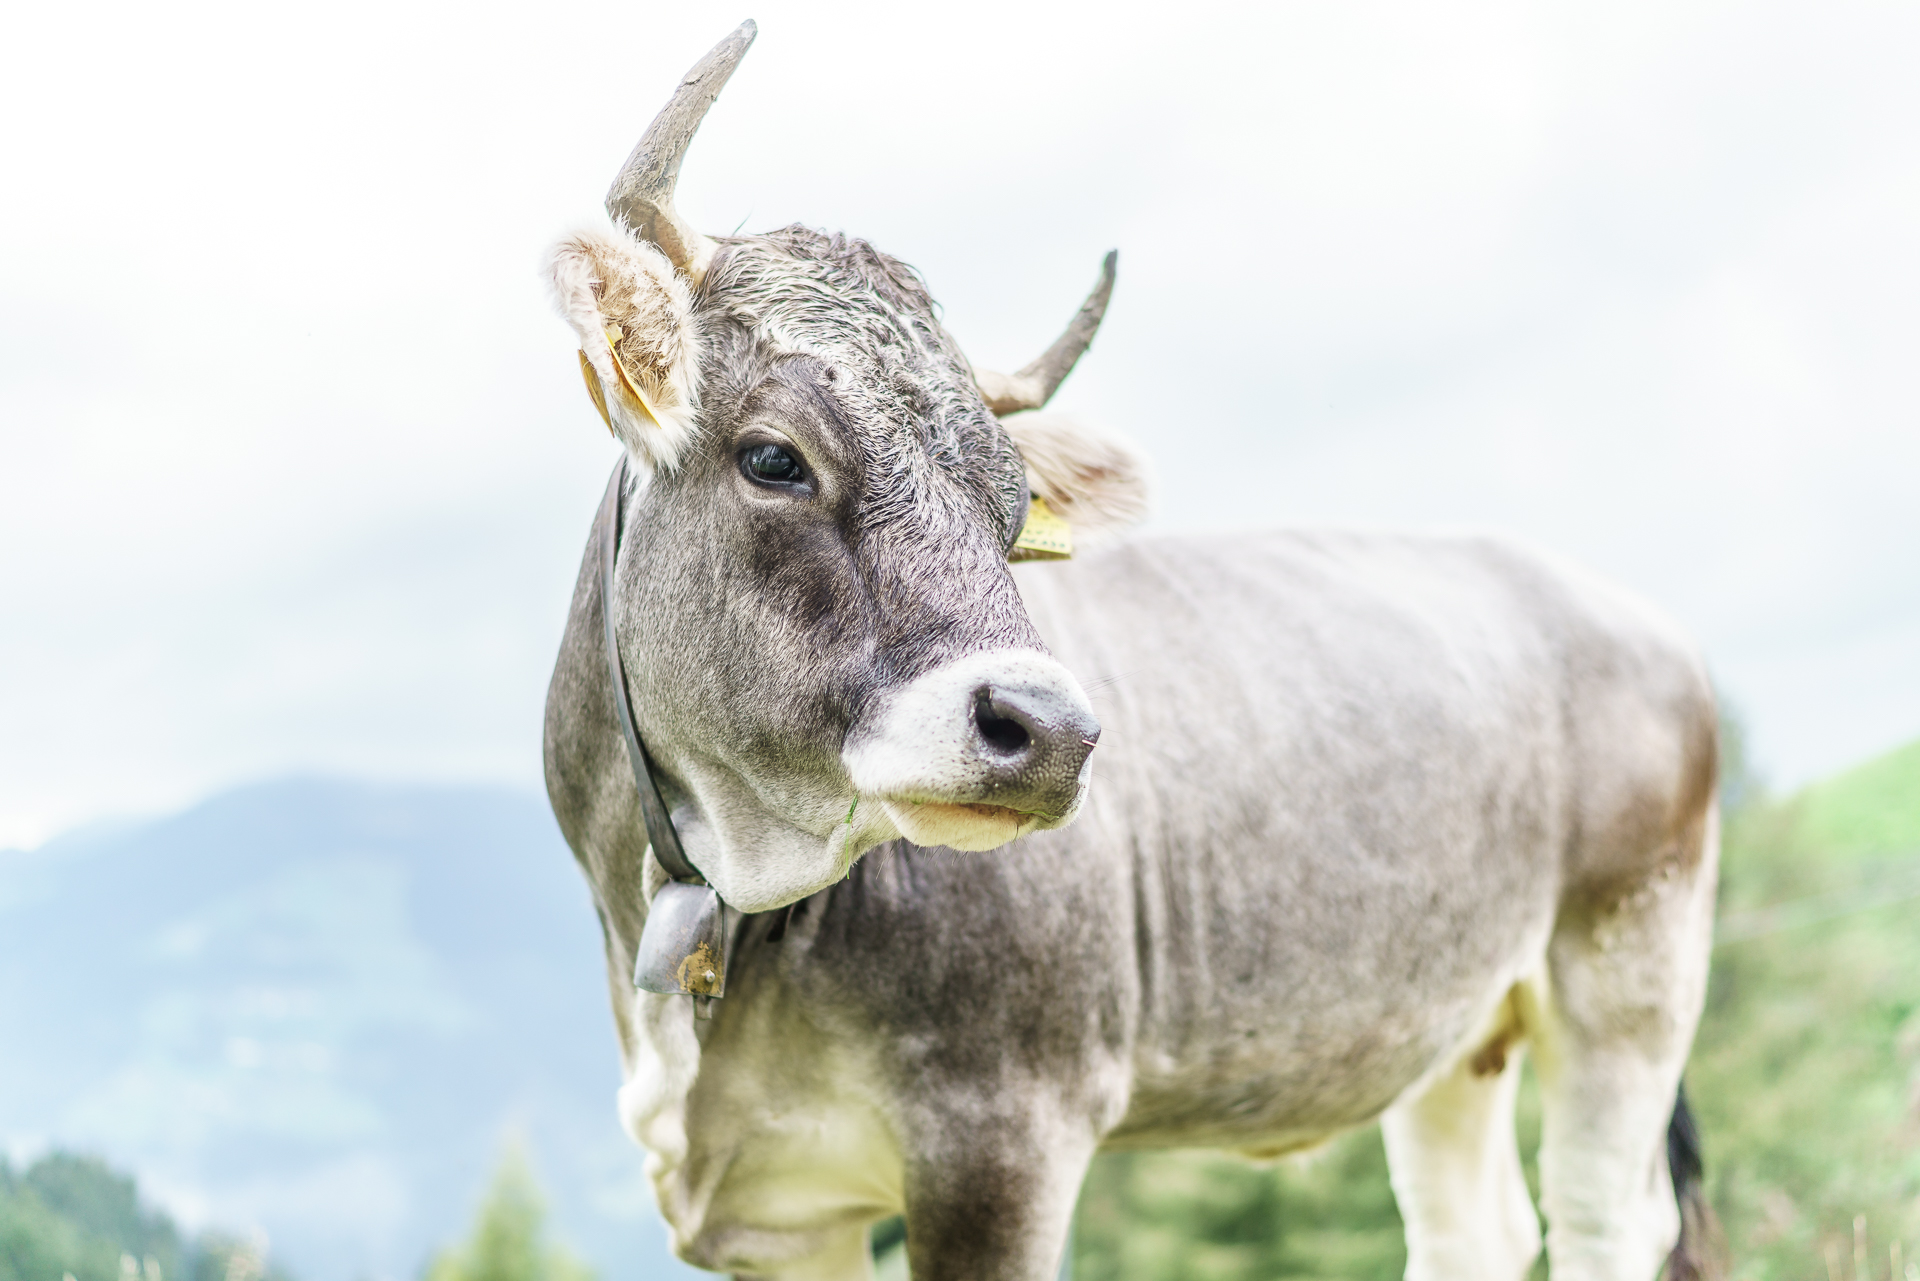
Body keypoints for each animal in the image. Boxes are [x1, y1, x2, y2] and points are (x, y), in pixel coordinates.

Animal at [542, 22, 1722, 1281]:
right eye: (773, 458)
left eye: (1015, 511)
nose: (1050, 731)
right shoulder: (776, 1216)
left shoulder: (1004, 1131)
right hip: (1455, 1026)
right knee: (1475, 1226)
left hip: (1630, 974)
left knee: (1605, 1216)